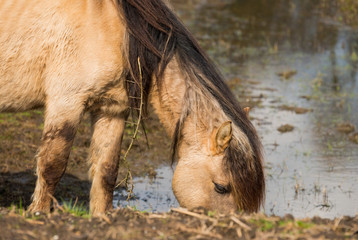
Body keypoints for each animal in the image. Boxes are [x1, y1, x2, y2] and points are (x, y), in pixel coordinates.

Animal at [0, 0, 262, 215]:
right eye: (221, 187)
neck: (114, 30)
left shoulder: (112, 110)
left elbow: (106, 171)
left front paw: (102, 217)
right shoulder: (66, 102)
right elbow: (52, 165)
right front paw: (39, 213)